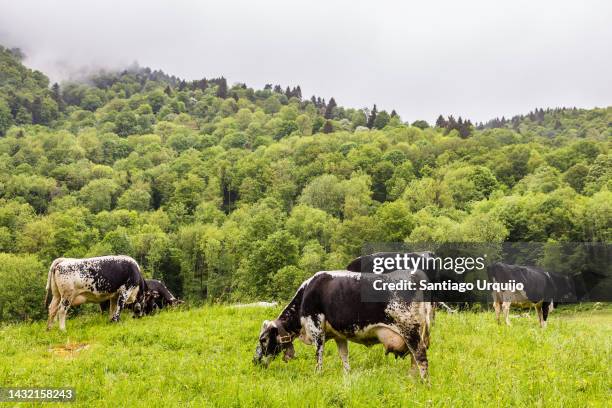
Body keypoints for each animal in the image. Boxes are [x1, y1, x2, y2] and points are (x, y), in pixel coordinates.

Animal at [253, 270, 436, 380]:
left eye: (263, 340)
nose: (255, 362)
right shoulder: (339, 336)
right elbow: (344, 356)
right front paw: (347, 375)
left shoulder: (316, 329)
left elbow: (318, 355)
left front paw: (317, 375)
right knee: (414, 359)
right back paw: (412, 380)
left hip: (410, 330)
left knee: (420, 357)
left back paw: (424, 384)